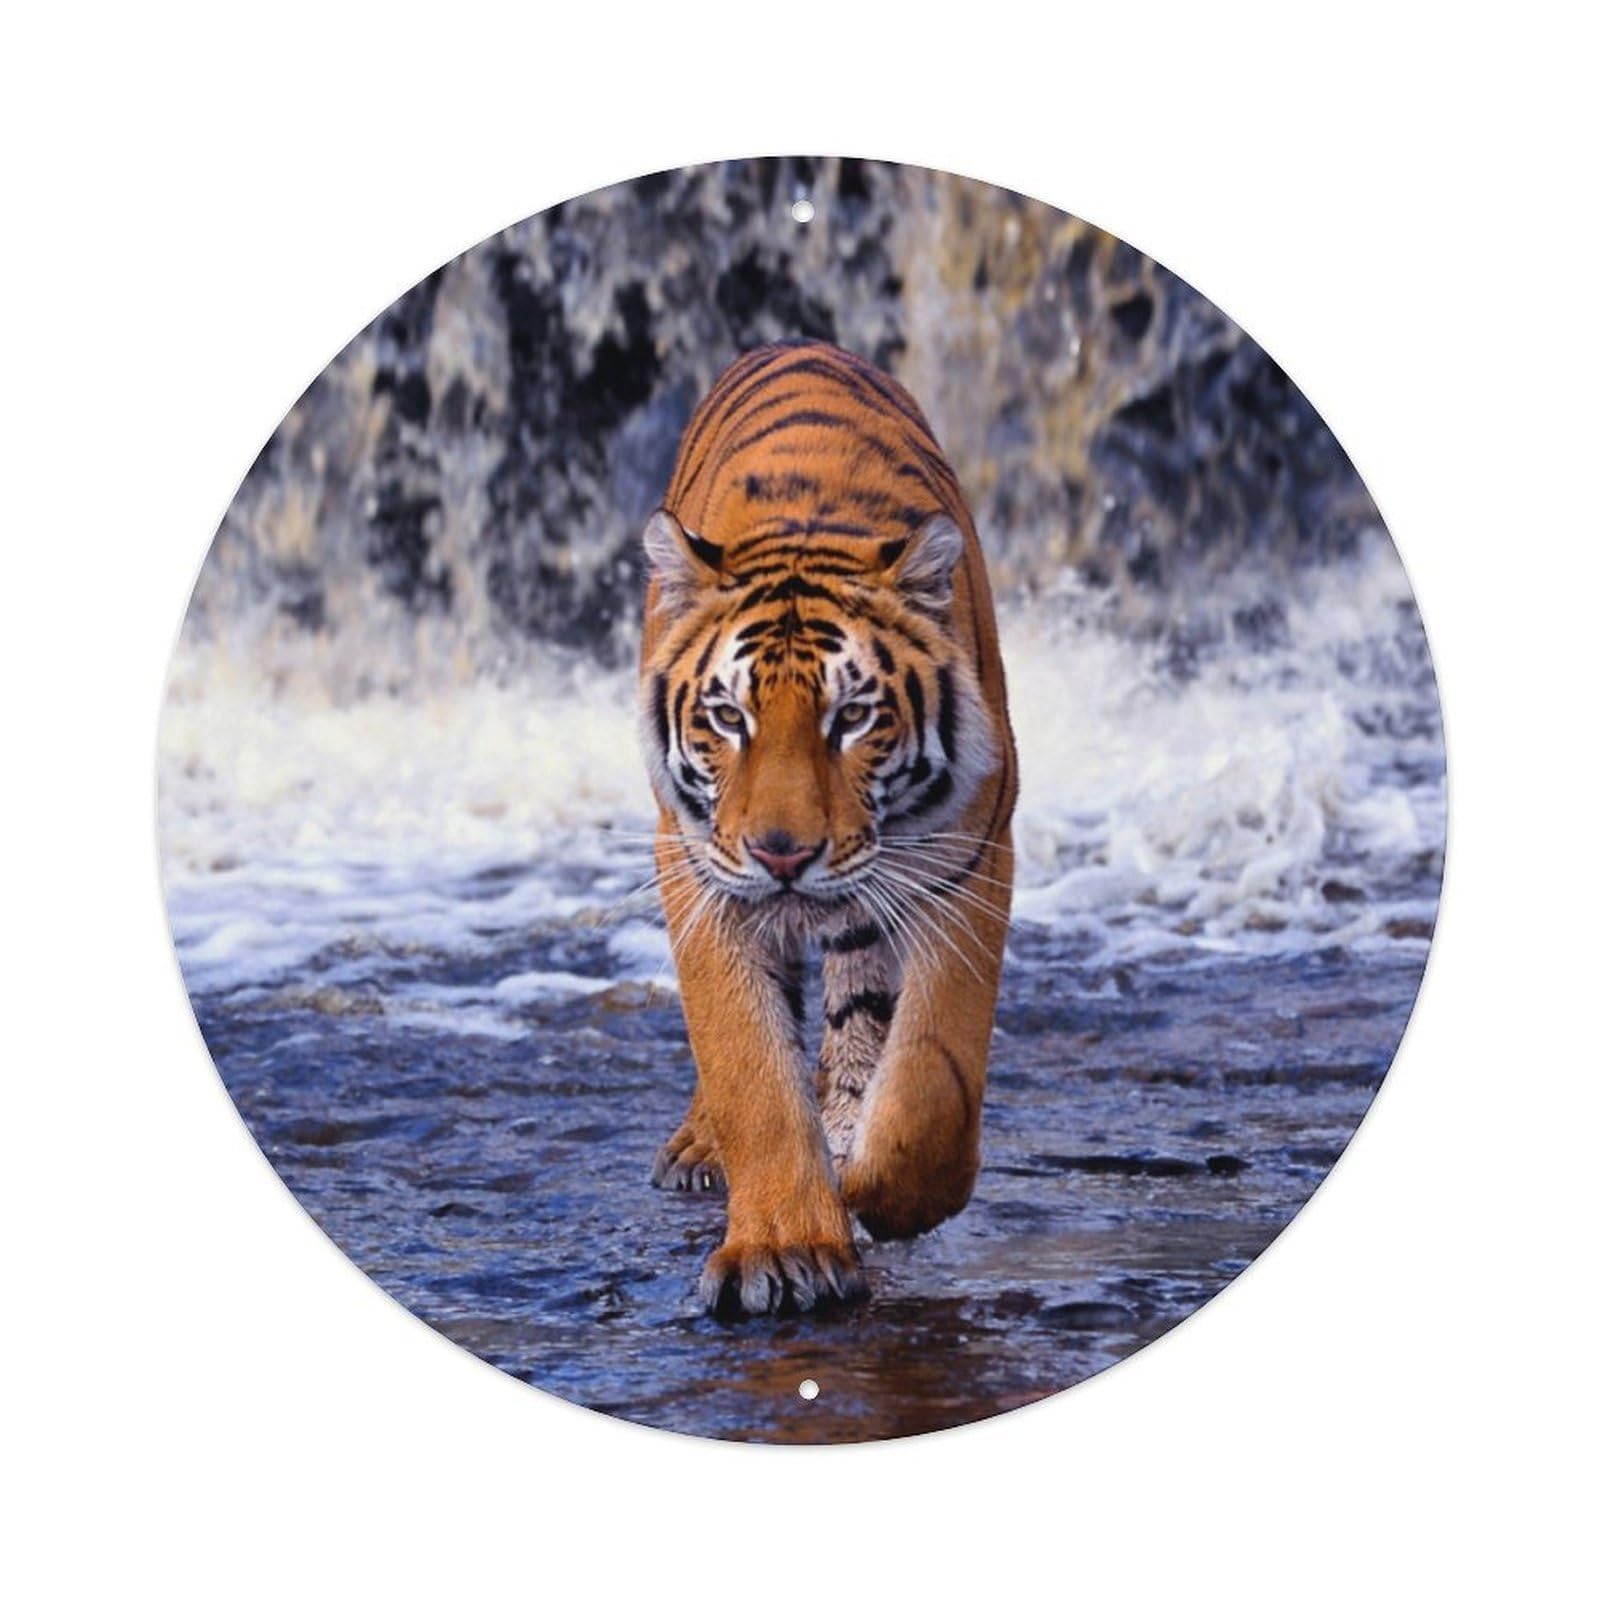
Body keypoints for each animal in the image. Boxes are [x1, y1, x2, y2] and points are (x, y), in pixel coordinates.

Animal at [637, 339, 1018, 1316]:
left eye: (852, 718)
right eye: (727, 717)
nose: (783, 854)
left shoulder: (966, 858)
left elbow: (932, 1074)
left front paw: (885, 1192)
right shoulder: (699, 870)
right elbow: (747, 1062)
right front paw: (784, 1248)